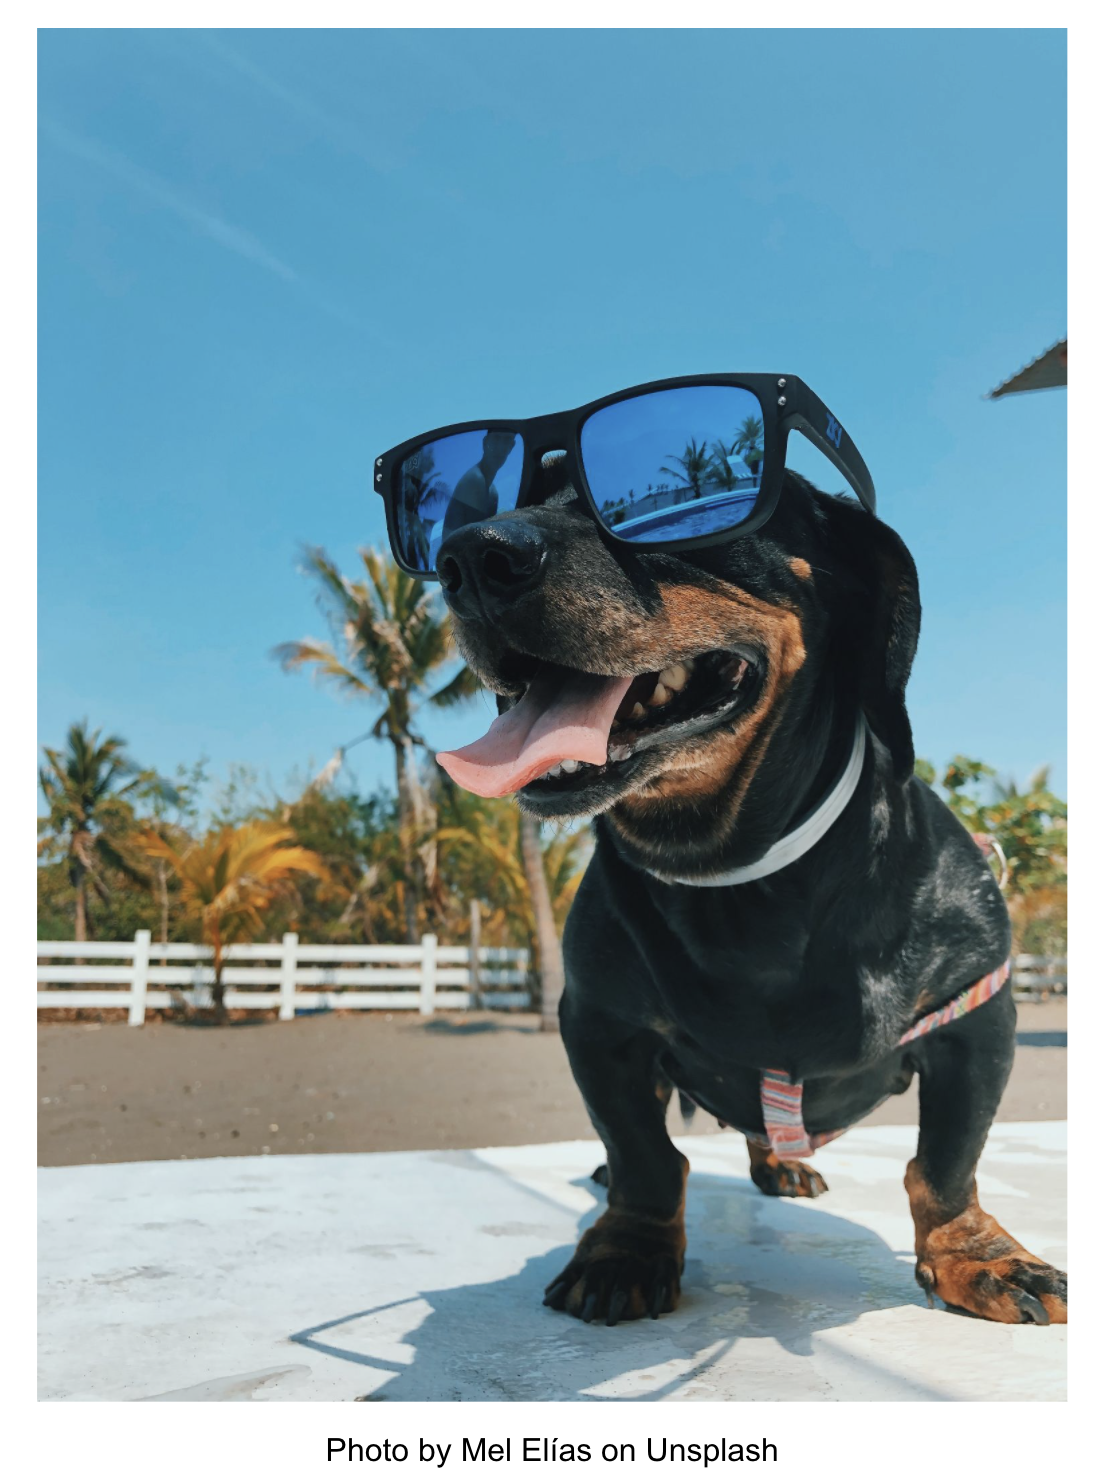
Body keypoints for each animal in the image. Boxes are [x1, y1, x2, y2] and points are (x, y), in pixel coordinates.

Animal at [434, 454, 1067, 1327]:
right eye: (514, 494)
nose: (468, 557)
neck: (742, 875)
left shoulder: (977, 1021)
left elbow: (946, 1163)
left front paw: (978, 1256)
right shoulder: (599, 1026)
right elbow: (643, 1154)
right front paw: (627, 1248)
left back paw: (782, 1164)